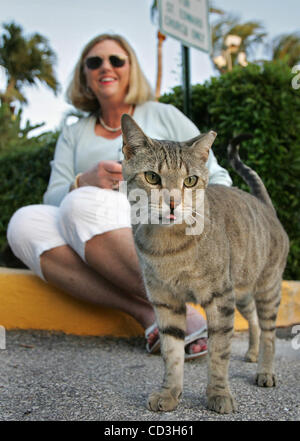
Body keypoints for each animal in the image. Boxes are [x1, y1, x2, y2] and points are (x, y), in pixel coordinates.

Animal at [120, 112, 290, 412]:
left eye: (190, 180)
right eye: (152, 177)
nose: (173, 203)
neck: (168, 246)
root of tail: (265, 206)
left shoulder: (220, 298)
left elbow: (219, 353)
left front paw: (219, 394)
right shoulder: (165, 301)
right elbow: (172, 353)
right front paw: (170, 393)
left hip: (266, 289)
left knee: (269, 332)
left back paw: (265, 371)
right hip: (242, 293)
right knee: (255, 322)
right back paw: (252, 352)